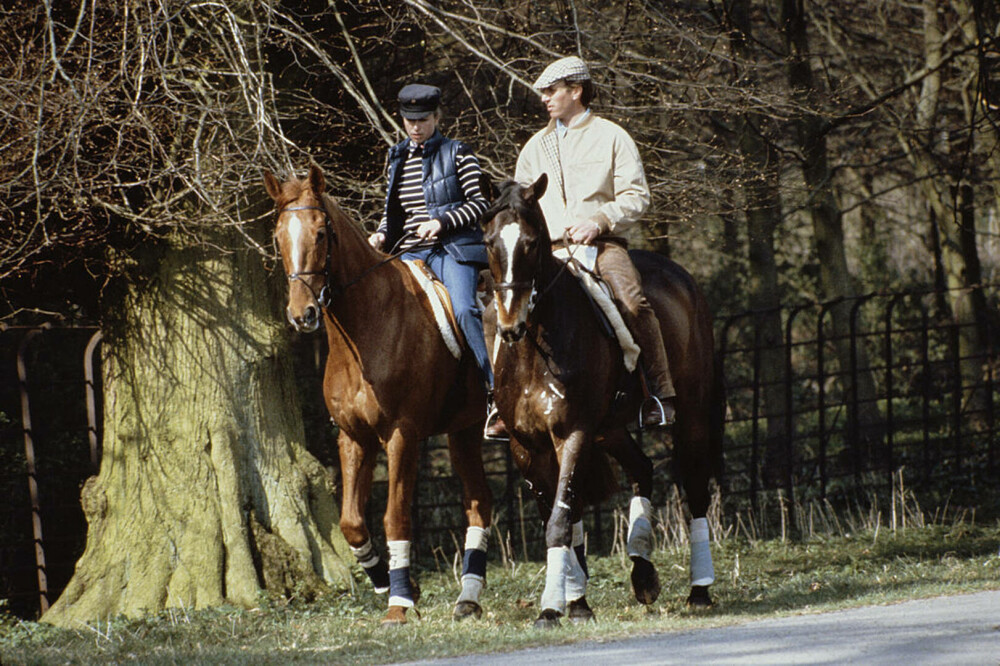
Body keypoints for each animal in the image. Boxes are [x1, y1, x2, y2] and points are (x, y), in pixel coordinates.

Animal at [264, 165, 494, 624]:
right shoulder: (354, 438)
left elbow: (395, 517)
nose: (302, 315)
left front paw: (400, 602)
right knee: (479, 503)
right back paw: (467, 599)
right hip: (464, 431)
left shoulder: (401, 436)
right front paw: (396, 584)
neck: (368, 327)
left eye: (321, 233)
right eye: (279, 235)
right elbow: (352, 522)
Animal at [480, 174, 724, 624]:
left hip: (692, 414)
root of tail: (683, 279)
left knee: (696, 489)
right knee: (642, 468)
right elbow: (562, 516)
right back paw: (643, 573)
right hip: (609, 429)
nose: (510, 323)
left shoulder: (572, 434)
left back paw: (699, 589)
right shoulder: (528, 447)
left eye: (532, 243)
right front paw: (576, 603)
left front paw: (551, 608)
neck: (537, 347)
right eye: (489, 241)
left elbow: (560, 522)